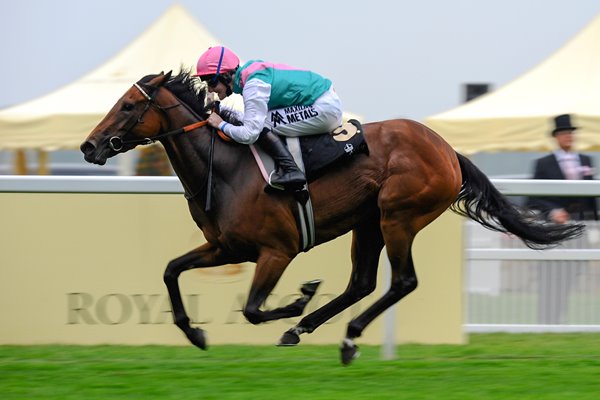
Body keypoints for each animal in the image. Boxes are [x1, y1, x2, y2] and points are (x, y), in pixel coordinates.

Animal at [81, 70, 580, 364]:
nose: (89, 145)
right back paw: (309, 329)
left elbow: (253, 309)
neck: (225, 167)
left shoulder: (276, 251)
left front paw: (298, 300)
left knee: (401, 281)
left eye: (128, 106)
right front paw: (194, 333)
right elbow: (171, 271)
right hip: (369, 222)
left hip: (398, 216)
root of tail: (446, 149)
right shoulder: (226, 247)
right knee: (361, 283)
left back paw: (344, 336)